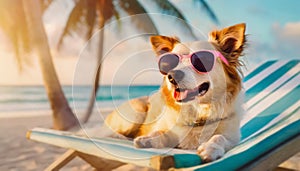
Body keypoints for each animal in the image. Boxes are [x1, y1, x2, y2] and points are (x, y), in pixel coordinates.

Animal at [103, 23, 246, 162]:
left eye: (201, 60)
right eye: (170, 63)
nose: (172, 76)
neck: (198, 115)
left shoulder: (232, 137)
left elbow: (219, 137)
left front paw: (211, 148)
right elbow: (160, 132)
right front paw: (148, 139)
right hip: (136, 113)